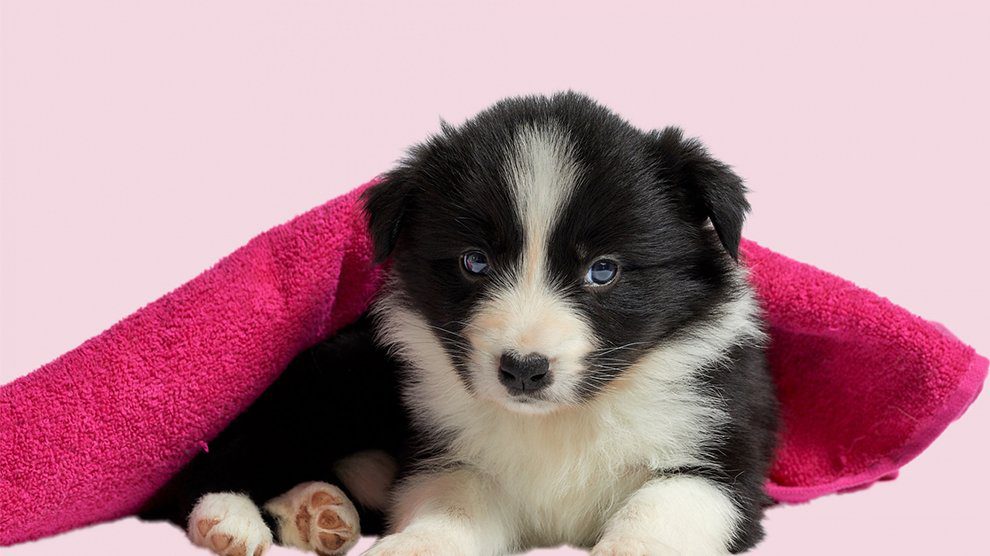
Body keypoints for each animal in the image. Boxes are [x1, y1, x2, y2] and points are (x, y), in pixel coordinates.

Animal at [140, 92, 780, 556]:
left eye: (603, 270)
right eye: (475, 262)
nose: (523, 370)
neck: (557, 422)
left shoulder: (722, 455)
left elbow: (663, 509)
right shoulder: (447, 452)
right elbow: (455, 505)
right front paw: (414, 547)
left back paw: (320, 510)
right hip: (329, 383)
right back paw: (230, 517)